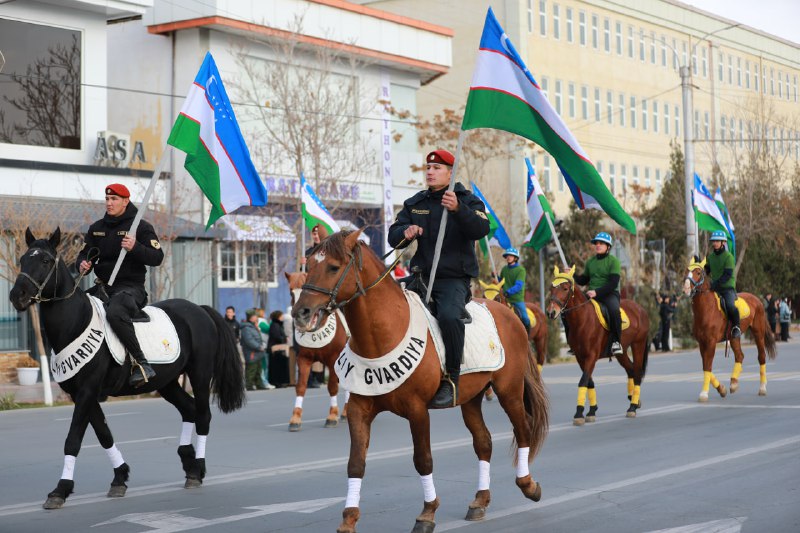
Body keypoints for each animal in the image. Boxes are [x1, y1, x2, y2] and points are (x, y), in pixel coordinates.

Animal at [7, 228, 245, 508]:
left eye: (45, 261)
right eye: (22, 259)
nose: (17, 296)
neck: (75, 322)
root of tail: (200, 309)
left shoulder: (87, 391)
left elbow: (73, 440)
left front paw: (60, 489)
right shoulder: (81, 394)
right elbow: (104, 435)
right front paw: (119, 477)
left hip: (199, 374)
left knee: (203, 415)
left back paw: (198, 467)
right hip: (167, 382)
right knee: (189, 410)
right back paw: (189, 463)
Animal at [288, 272, 350, 430]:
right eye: (291, 292)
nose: (300, 315)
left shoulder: (333, 360)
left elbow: (332, 387)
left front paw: (332, 415)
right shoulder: (304, 358)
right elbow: (301, 387)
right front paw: (295, 417)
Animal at [544, 264, 648, 424]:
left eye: (565, 288)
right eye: (551, 288)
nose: (551, 312)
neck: (582, 319)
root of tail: (640, 309)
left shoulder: (591, 356)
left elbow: (583, 381)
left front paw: (579, 413)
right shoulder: (580, 357)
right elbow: (589, 382)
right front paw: (591, 411)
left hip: (638, 345)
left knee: (636, 373)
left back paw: (632, 407)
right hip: (622, 352)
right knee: (630, 370)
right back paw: (634, 401)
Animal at [680, 256, 776, 400]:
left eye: (698, 272)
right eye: (686, 271)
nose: (686, 288)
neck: (707, 310)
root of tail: (757, 299)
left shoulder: (711, 342)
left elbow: (708, 366)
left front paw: (704, 393)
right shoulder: (702, 343)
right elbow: (705, 366)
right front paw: (722, 389)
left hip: (758, 333)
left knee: (761, 356)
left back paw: (762, 388)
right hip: (734, 337)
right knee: (740, 356)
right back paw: (734, 383)